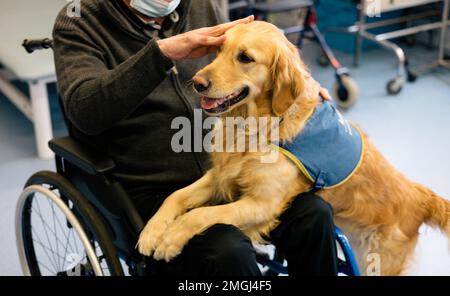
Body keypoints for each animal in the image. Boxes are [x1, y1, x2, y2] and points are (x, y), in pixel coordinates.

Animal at [138, 20, 450, 276]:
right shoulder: (221, 175)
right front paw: (152, 231)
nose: (198, 83)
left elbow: (201, 215)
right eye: (219, 49)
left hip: (376, 260)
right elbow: (175, 196)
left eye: (245, 57)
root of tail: (421, 195)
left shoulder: (261, 204)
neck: (258, 124)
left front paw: (170, 238)